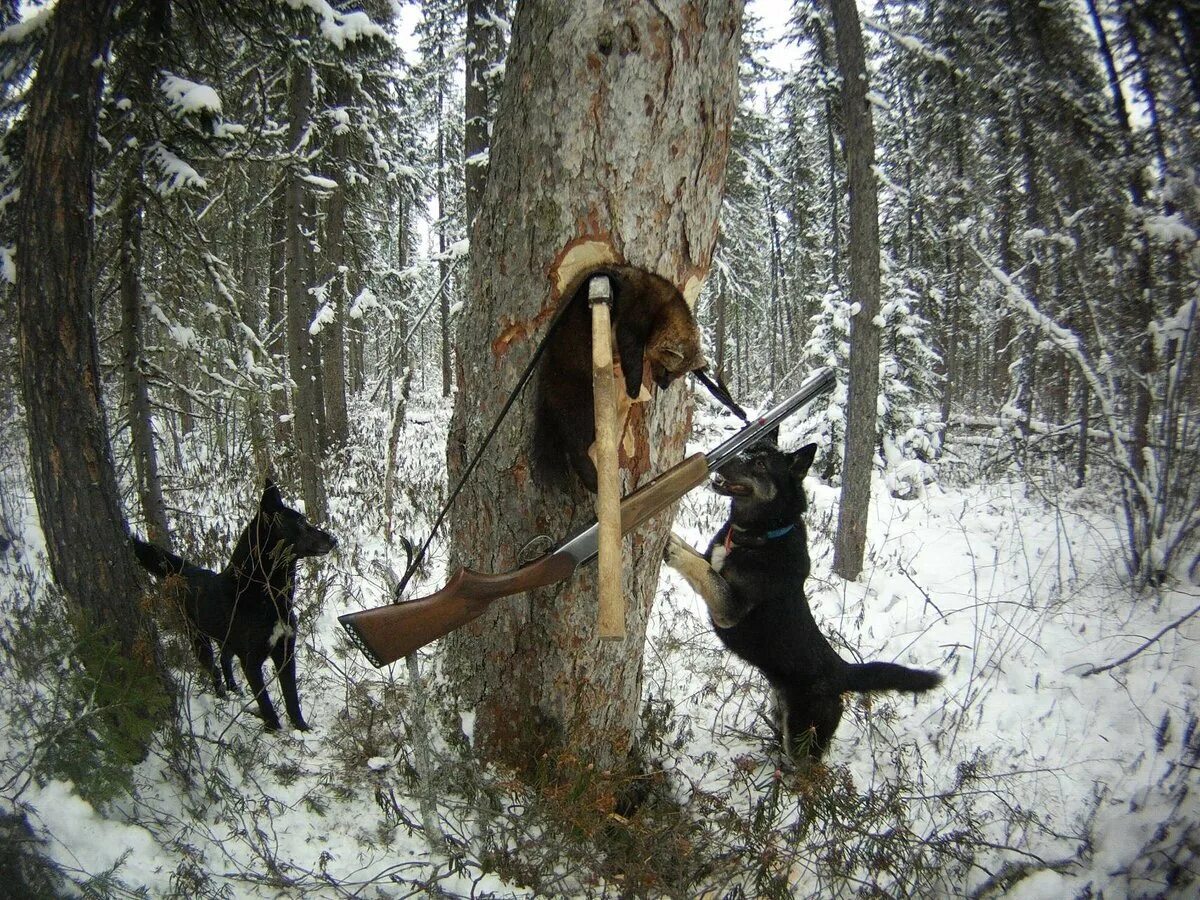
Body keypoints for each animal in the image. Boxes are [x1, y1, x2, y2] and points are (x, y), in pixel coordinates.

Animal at [132, 480, 338, 734]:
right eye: (300, 523)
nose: (334, 540)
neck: (265, 594)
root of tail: (186, 570)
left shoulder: (285, 652)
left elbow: (292, 697)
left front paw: (302, 728)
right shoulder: (251, 662)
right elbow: (265, 701)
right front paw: (274, 730)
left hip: (227, 639)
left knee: (224, 659)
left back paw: (233, 688)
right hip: (198, 639)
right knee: (213, 668)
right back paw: (222, 696)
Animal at [662, 444, 940, 763]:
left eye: (760, 463)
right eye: (749, 450)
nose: (718, 458)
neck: (760, 533)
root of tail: (842, 673)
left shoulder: (728, 609)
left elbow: (702, 570)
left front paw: (674, 549)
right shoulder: (714, 565)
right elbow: (701, 560)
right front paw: (675, 537)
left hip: (803, 735)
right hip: (782, 713)